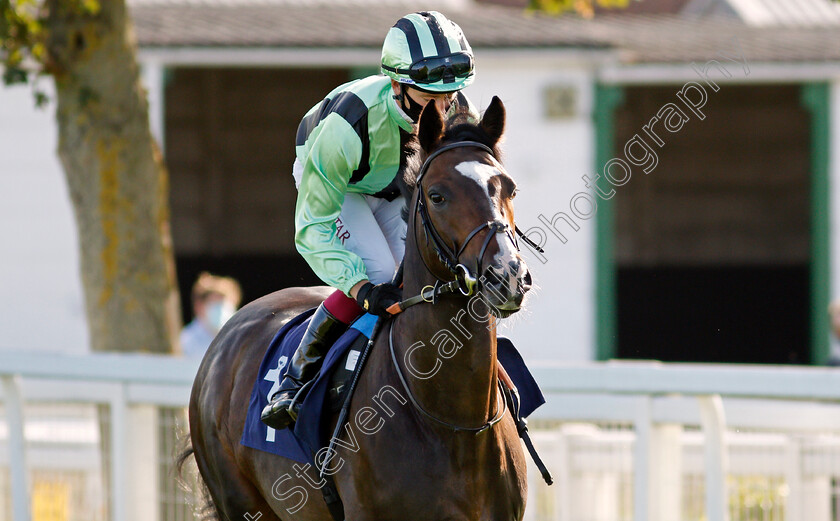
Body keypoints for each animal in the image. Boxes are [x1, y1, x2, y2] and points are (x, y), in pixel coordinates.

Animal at [183, 96, 536, 520]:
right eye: (437, 195)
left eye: (510, 189)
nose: (508, 276)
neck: (453, 422)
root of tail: (227, 335)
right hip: (237, 500)